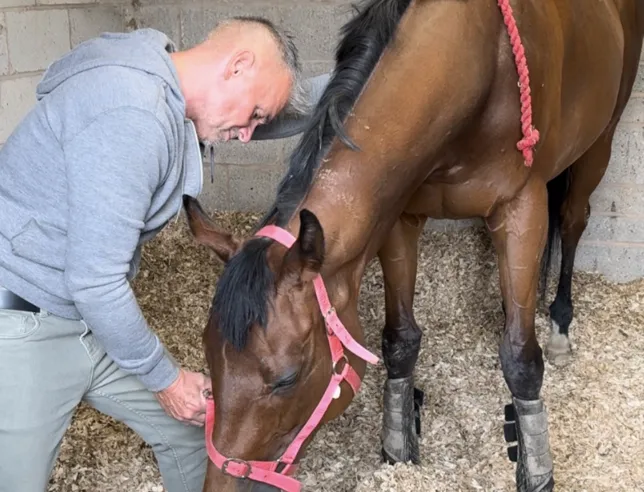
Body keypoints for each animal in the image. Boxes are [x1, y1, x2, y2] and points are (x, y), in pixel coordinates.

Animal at [183, 0, 644, 490]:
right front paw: (399, 447)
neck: (479, 64)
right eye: (208, 353)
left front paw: (537, 470)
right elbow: (400, 340)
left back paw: (558, 324)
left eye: (287, 378)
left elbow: (521, 358)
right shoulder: (400, 216)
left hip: (601, 142)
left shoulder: (523, 208)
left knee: (574, 222)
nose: (221, 483)